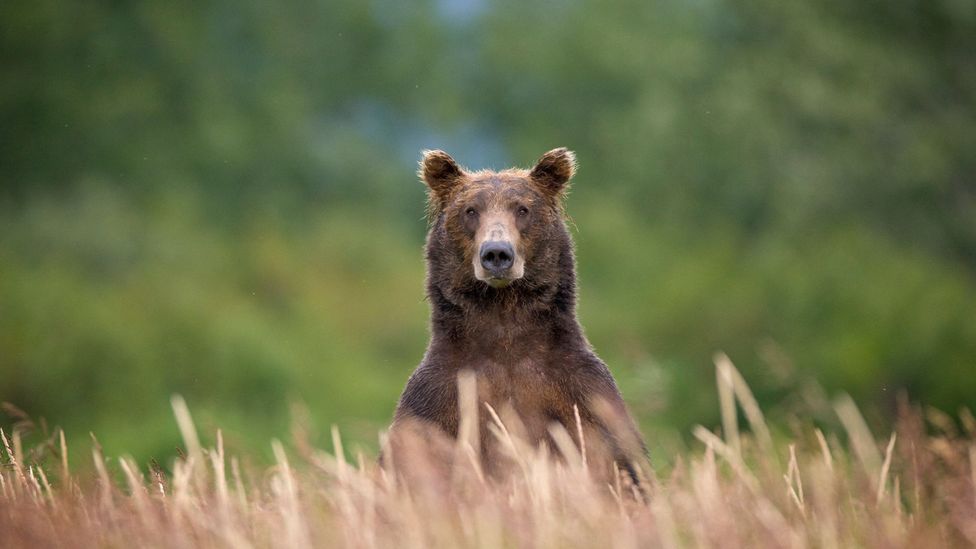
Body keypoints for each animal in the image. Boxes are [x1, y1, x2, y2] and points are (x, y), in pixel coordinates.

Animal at [387, 147, 646, 486]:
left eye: (522, 209)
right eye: (470, 210)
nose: (497, 253)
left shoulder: (582, 394)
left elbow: (622, 468)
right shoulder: (437, 400)